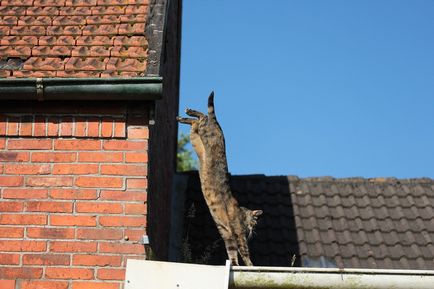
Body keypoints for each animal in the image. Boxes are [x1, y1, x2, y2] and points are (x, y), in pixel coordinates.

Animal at [176, 91, 262, 264]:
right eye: (255, 222)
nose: (253, 230)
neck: (242, 214)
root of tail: (217, 125)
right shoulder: (237, 234)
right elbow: (244, 252)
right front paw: (250, 264)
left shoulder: (227, 234)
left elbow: (232, 252)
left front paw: (234, 264)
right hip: (206, 132)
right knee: (203, 117)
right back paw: (190, 112)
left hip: (196, 139)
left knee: (195, 123)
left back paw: (183, 117)